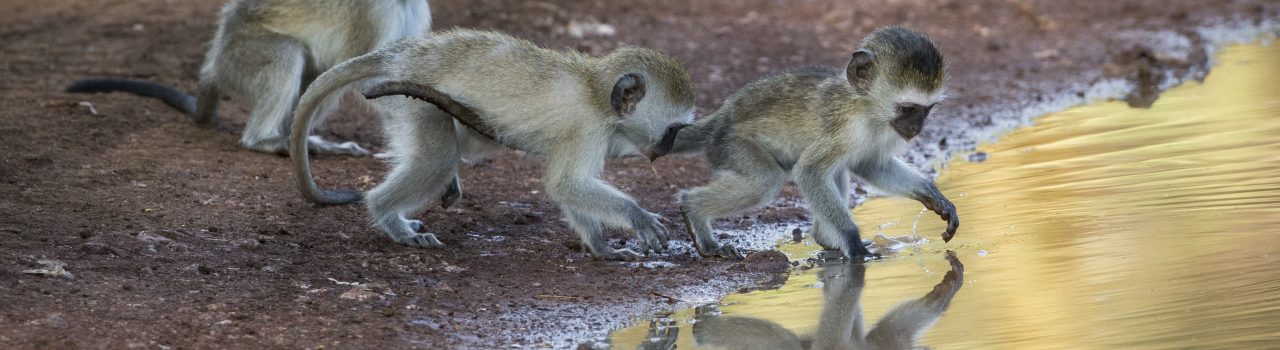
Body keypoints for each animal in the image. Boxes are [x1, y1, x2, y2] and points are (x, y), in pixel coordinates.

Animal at [67, 0, 432, 155]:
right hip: (240, 56)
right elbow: (366, 79)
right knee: (288, 54)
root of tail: (215, 63)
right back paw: (266, 140)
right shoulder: (376, 11)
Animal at [288, 29, 701, 258]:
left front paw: (599, 248)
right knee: (437, 159)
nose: (666, 150)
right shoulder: (586, 130)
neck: (596, 93)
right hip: (412, 99)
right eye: (673, 130)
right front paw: (637, 217)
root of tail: (401, 54)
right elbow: (565, 183)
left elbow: (570, 188)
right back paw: (391, 220)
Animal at [660, 26, 962, 258]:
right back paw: (693, 211)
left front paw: (932, 194)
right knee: (764, 181)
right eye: (908, 109)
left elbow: (869, 165)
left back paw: (825, 240)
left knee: (836, 172)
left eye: (927, 110)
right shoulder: (845, 129)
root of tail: (722, 117)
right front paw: (852, 242)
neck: (865, 108)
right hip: (731, 146)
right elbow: (809, 172)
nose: (916, 128)